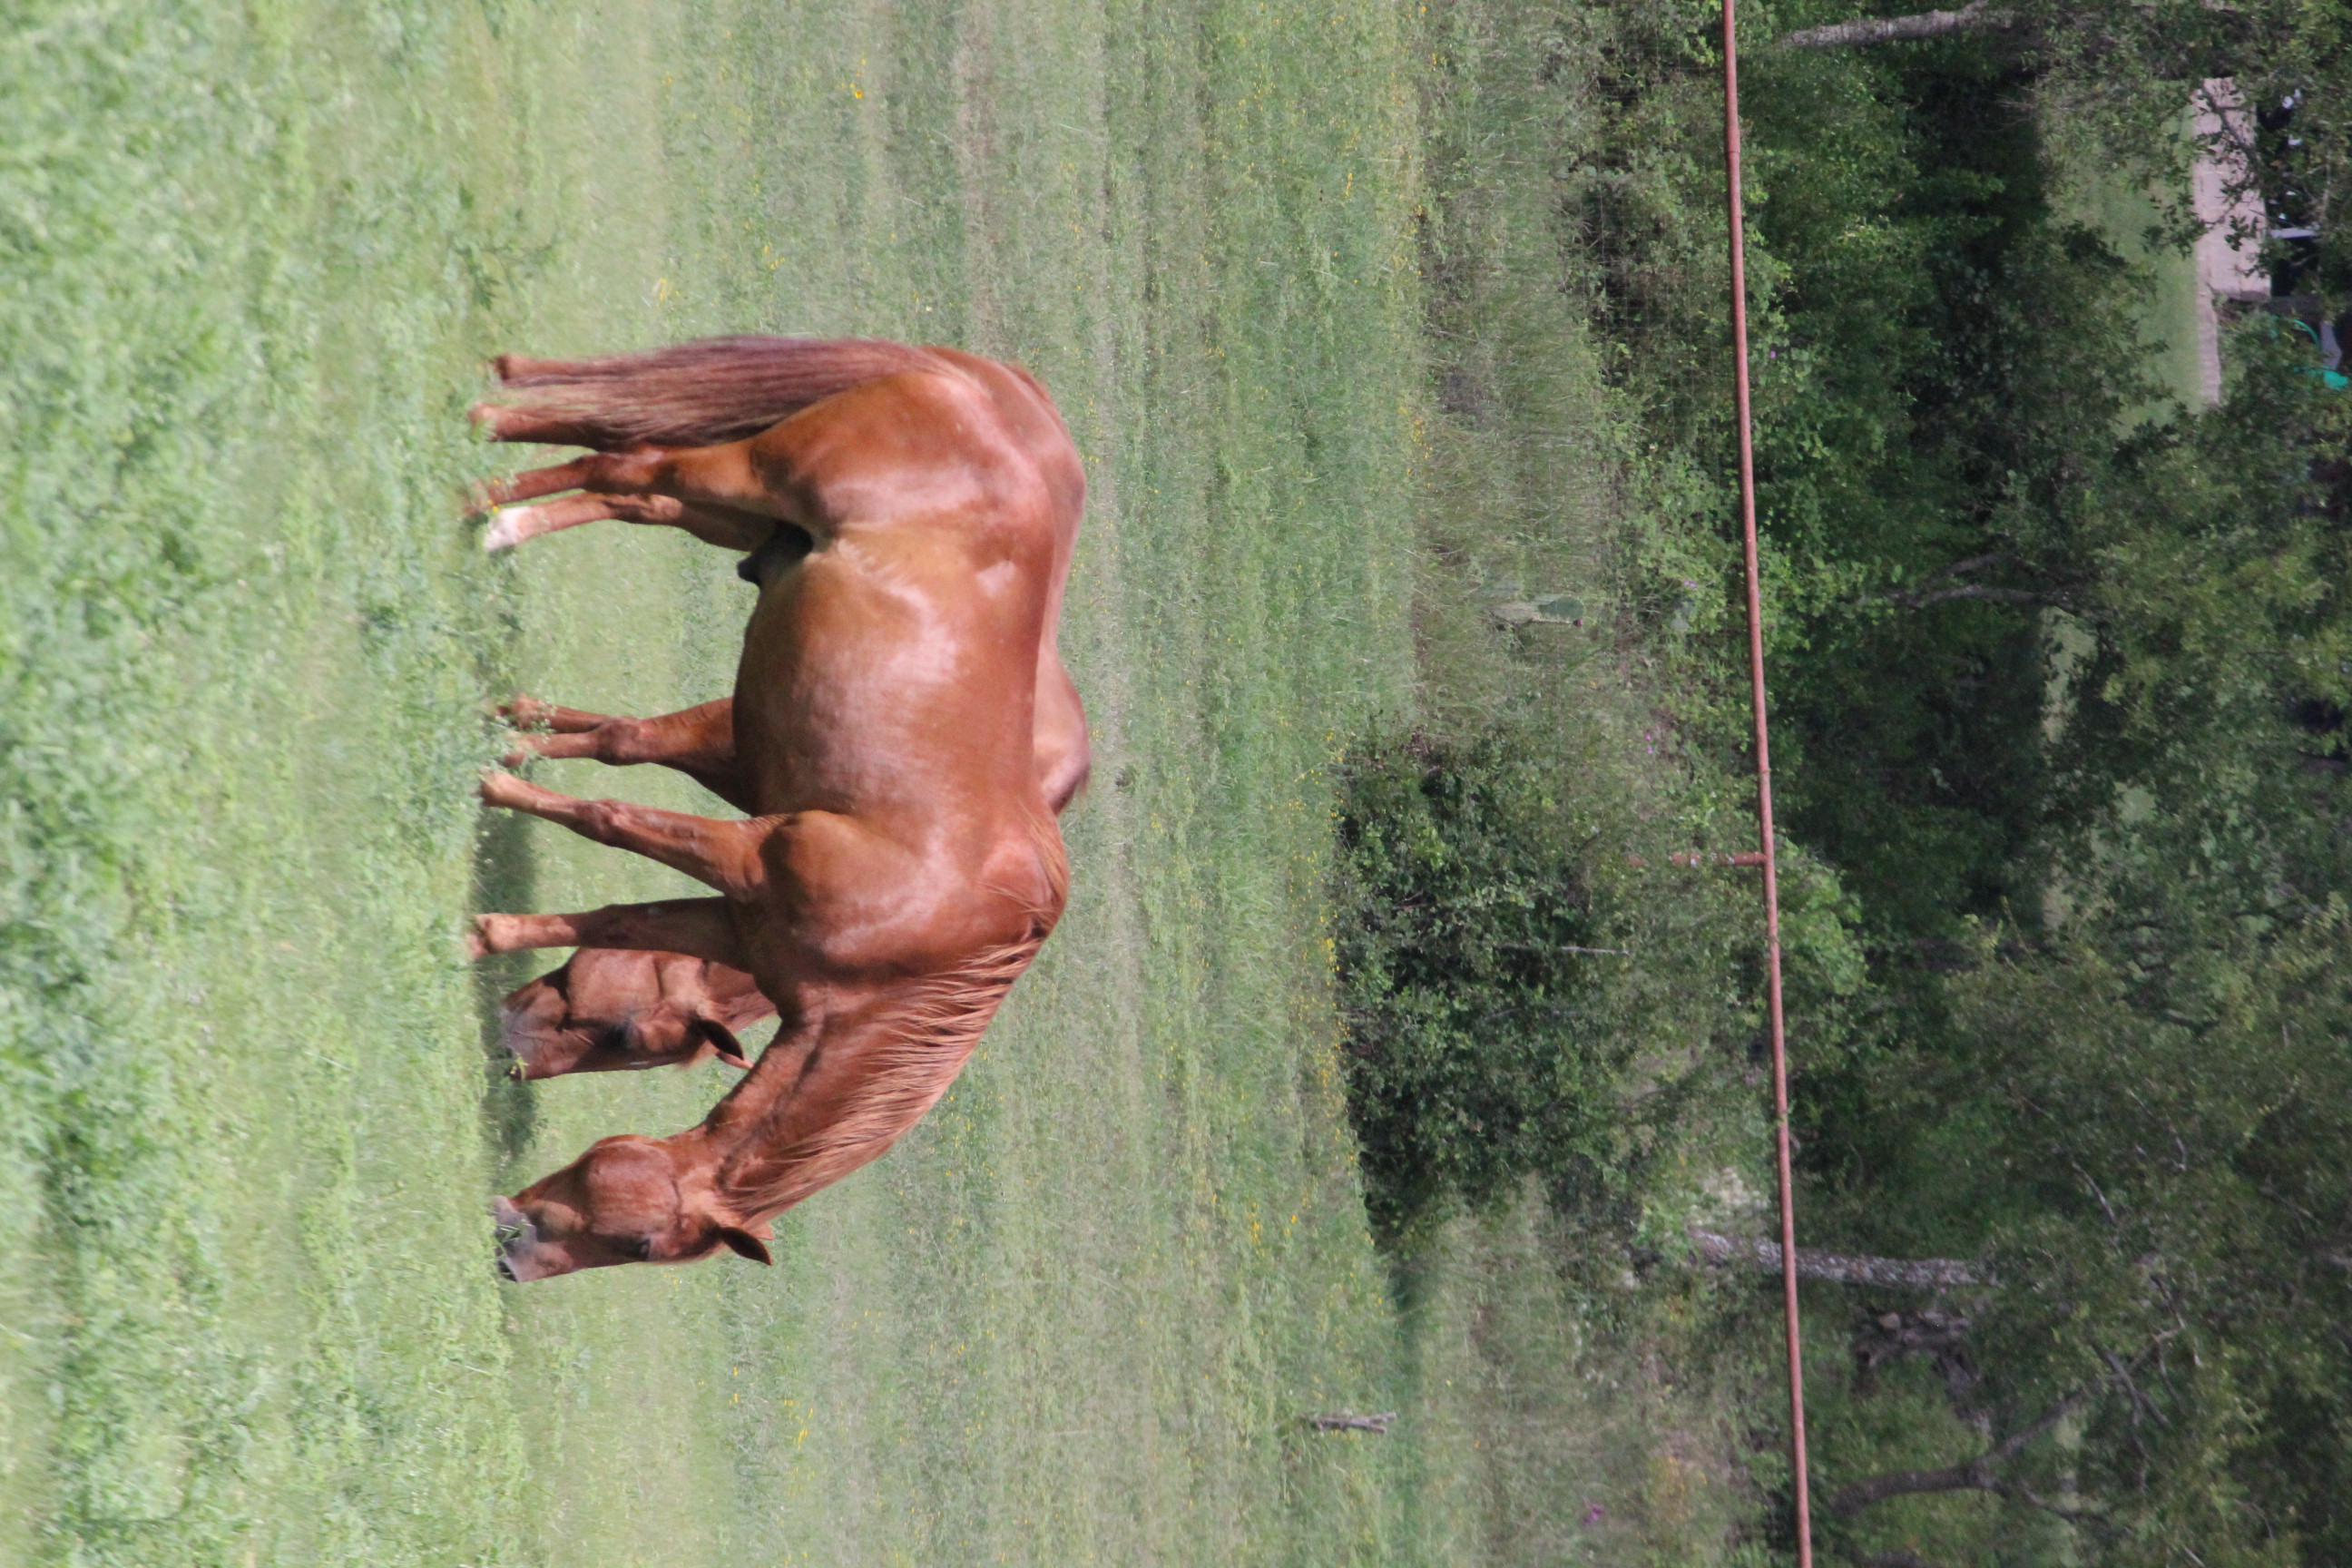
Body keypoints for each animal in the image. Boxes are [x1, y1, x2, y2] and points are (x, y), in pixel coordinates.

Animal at [462, 336, 1086, 1280]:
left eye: (638, 1247)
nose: (509, 1254)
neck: (932, 934)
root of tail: (977, 390)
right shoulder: (750, 852)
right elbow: (609, 808)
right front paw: (496, 782)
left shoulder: (735, 921)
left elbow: (617, 910)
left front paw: (481, 929)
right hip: (744, 476)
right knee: (627, 461)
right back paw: (487, 502)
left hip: (734, 519)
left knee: (630, 485)